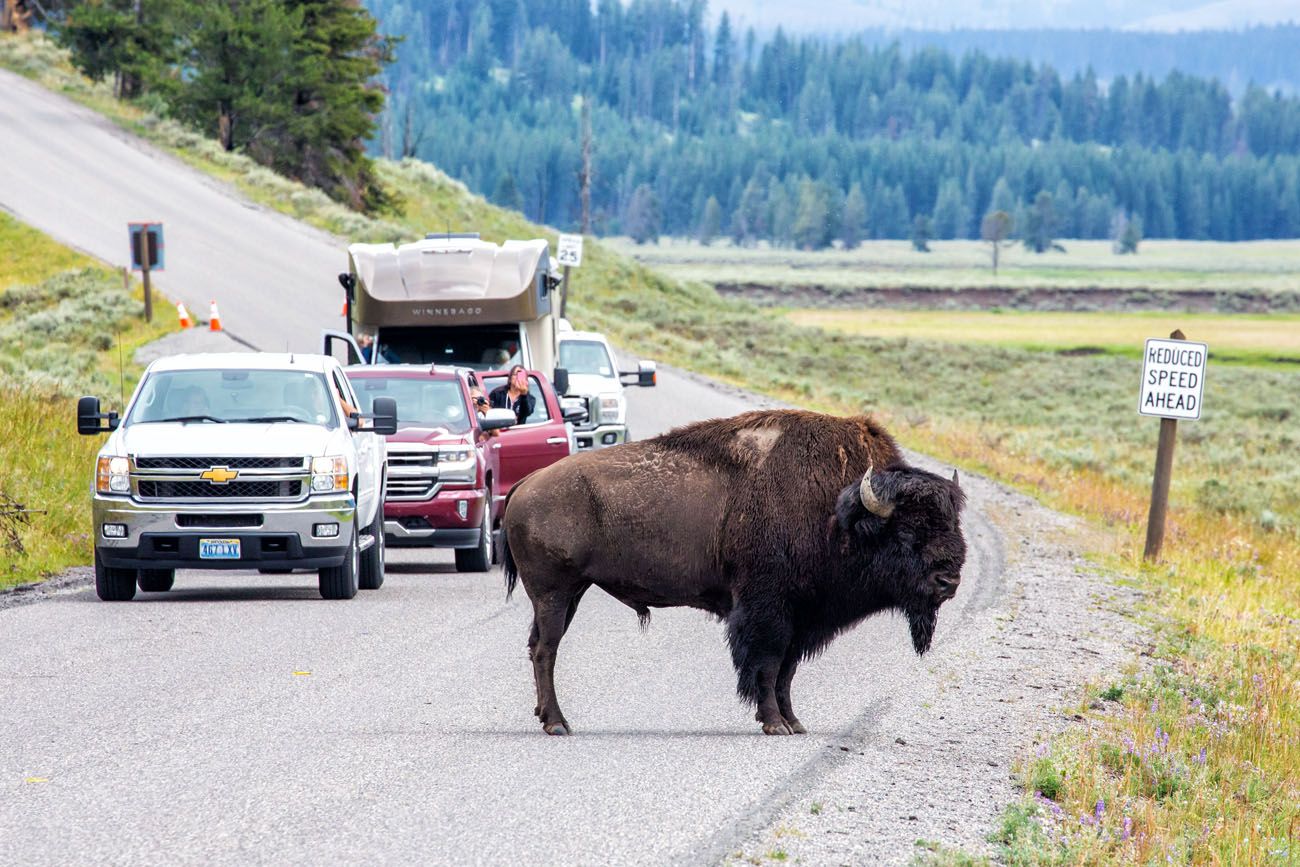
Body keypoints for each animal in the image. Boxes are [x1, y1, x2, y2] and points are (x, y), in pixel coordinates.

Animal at [496, 410, 967, 738]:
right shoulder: (768, 611)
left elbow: (786, 672)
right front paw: (774, 724)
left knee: (538, 645)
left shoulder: (799, 619)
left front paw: (794, 722)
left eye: (952, 522)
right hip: (554, 593)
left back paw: (548, 718)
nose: (949, 581)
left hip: (569, 594)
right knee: (546, 649)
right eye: (907, 529)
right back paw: (558, 723)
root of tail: (526, 484)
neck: (838, 511)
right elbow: (767, 666)